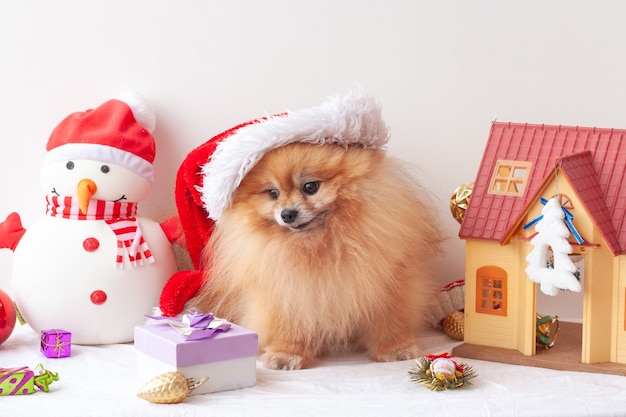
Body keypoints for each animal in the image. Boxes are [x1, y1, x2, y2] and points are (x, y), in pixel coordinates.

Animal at [193, 141, 442, 368]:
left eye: (310, 187)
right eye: (273, 193)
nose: (287, 214)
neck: (319, 244)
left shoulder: (387, 286)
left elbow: (390, 322)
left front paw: (395, 349)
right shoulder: (289, 293)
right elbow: (289, 327)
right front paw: (285, 355)